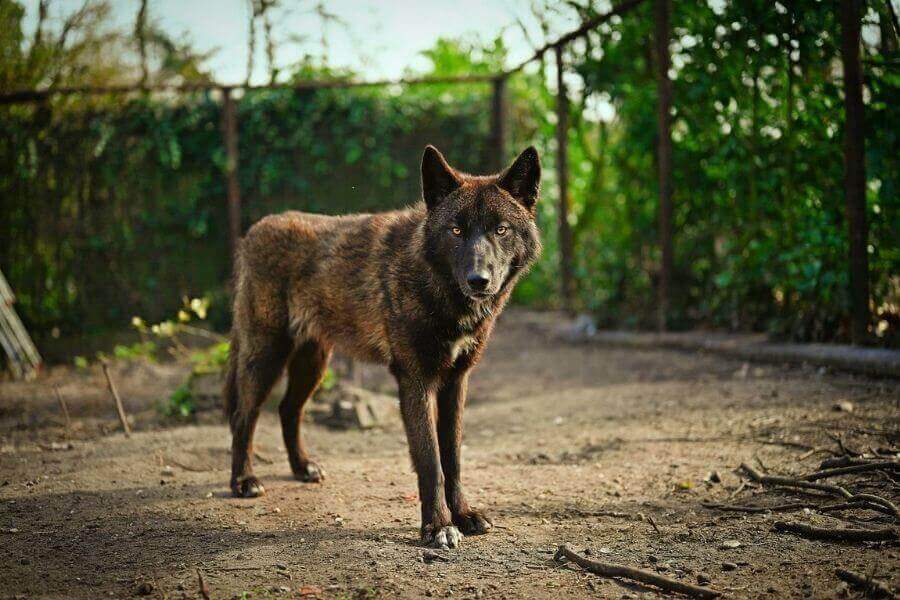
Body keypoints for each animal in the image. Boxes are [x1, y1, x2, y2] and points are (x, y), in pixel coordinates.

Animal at [224, 145, 542, 548]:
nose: (478, 280)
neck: (437, 287)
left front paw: (464, 515)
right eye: (456, 230)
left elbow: (452, 457)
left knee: (287, 410)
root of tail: (252, 232)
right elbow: (430, 461)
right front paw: (438, 526)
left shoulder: (456, 382)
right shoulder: (414, 381)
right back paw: (243, 481)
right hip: (266, 357)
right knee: (243, 416)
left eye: (500, 229)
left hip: (312, 364)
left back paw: (302, 468)